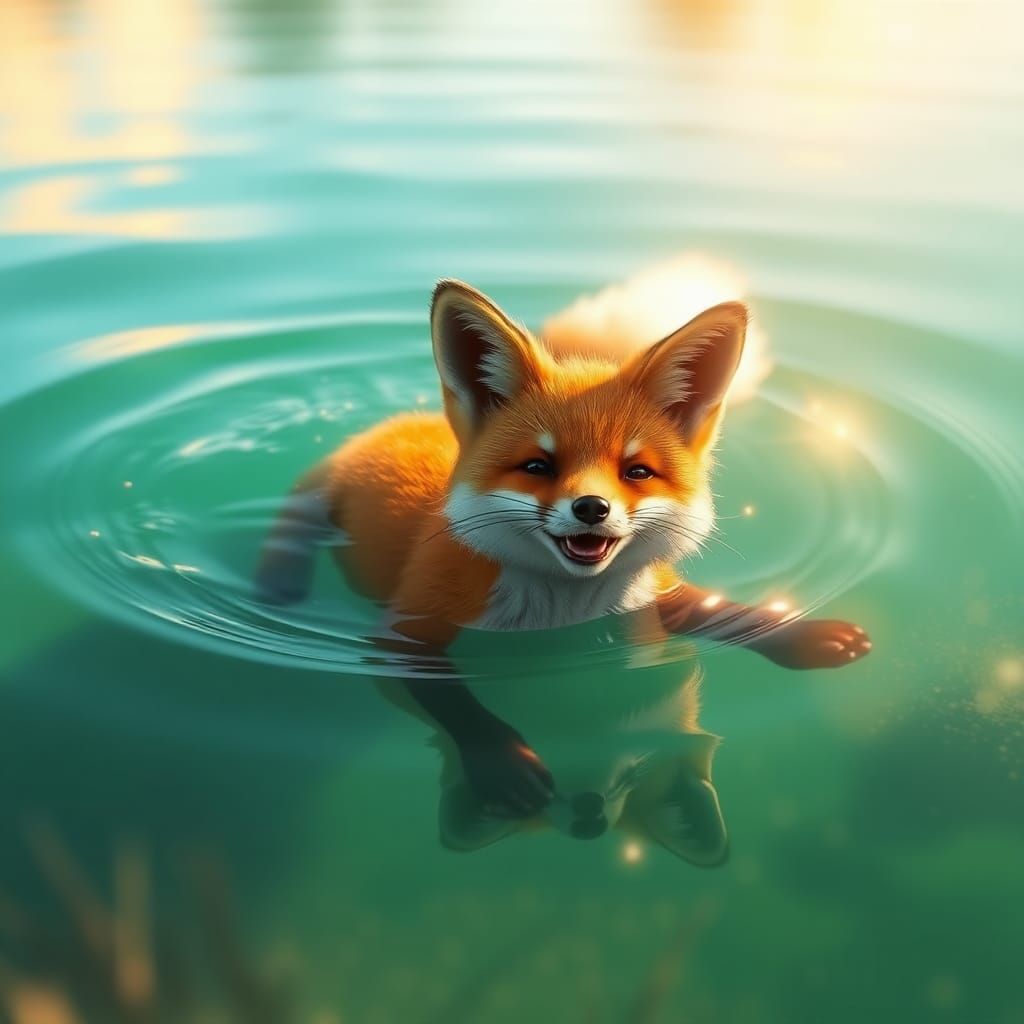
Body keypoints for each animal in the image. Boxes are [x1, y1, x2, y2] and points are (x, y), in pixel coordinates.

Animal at [257, 268, 870, 820]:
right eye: (538, 466)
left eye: (636, 471)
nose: (591, 508)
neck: (564, 609)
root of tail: (411, 419)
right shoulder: (408, 631)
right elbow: (458, 705)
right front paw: (501, 761)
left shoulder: (652, 595)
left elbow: (729, 615)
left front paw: (806, 635)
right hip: (318, 495)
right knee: (292, 520)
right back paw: (279, 582)